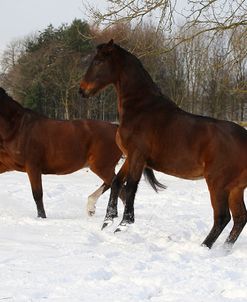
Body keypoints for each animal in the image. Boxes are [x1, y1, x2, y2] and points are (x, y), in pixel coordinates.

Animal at [0, 86, 123, 217]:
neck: (17, 128)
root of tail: (115, 128)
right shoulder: (6, 164)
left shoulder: (33, 167)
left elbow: (37, 195)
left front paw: (42, 218)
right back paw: (92, 207)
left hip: (101, 167)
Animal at [79, 39, 247, 248]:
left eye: (99, 61)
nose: (82, 90)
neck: (141, 108)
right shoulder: (131, 156)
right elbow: (117, 182)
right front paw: (108, 221)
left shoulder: (137, 155)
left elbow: (131, 187)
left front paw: (123, 225)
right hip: (236, 188)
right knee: (239, 218)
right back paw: (223, 249)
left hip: (218, 183)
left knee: (223, 217)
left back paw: (204, 248)